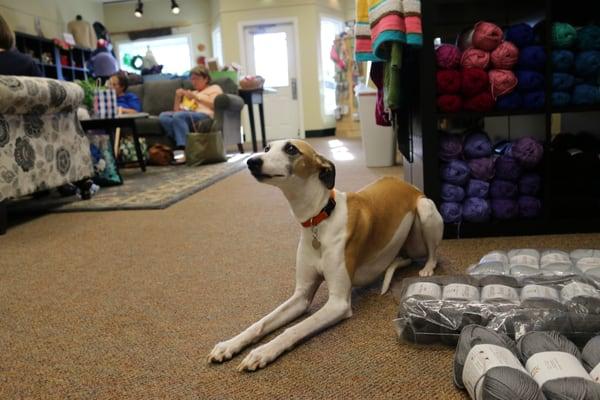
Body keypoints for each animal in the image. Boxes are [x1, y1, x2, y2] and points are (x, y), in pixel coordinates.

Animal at [209, 139, 442, 370]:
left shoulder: (338, 303)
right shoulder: (301, 296)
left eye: (291, 149)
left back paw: (427, 269)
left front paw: (263, 351)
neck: (319, 218)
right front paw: (229, 344)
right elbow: (262, 322)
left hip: (425, 212)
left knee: (432, 253)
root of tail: (408, 185)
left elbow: (294, 329)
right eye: (266, 148)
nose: (251, 161)